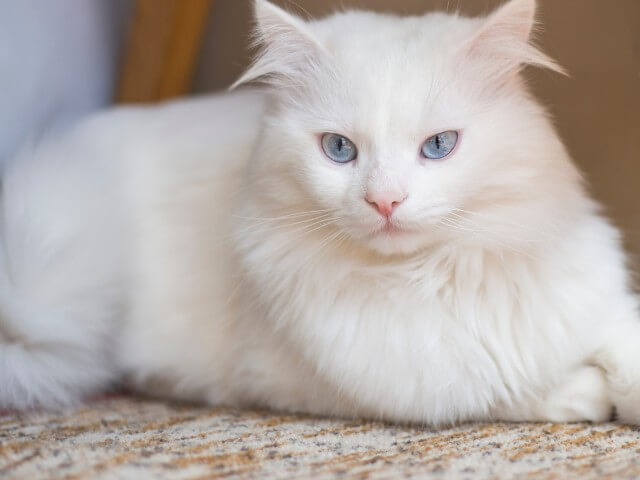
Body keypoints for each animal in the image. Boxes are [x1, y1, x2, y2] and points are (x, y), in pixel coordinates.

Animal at [1, 0, 640, 422]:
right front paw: (586, 397)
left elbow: (620, 345)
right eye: (339, 150)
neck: (428, 280)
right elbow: (489, 390)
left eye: (439, 146)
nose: (385, 201)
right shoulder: (340, 381)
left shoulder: (591, 304)